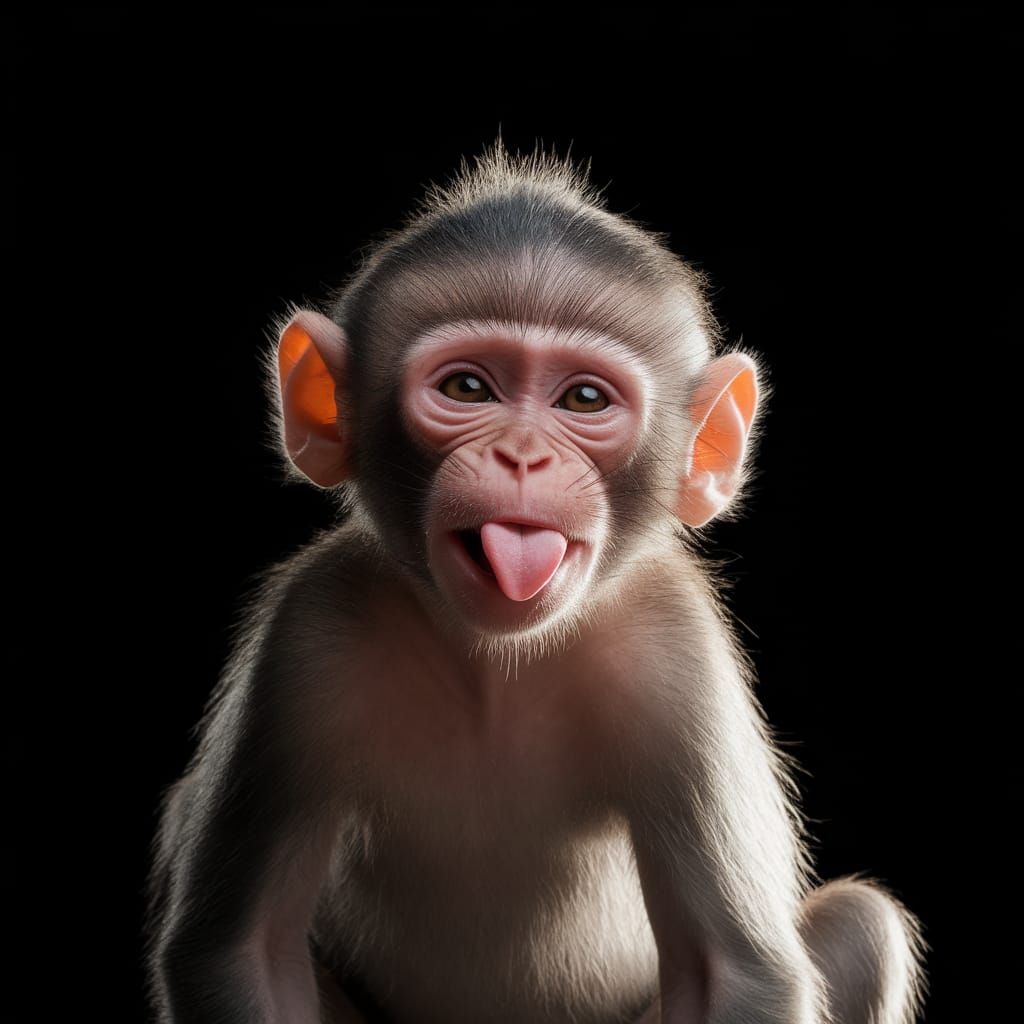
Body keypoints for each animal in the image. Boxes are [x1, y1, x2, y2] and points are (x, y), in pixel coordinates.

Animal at [144, 138, 927, 1024]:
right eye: (467, 388)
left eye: (583, 399)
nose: (522, 456)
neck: (497, 660)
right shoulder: (310, 628)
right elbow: (240, 951)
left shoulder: (672, 644)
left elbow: (734, 970)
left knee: (859, 924)